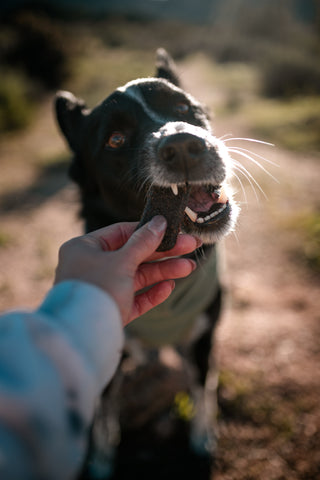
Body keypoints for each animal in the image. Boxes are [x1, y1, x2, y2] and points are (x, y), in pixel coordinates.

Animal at [55, 49, 238, 480]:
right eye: (115, 139)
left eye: (184, 108)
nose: (185, 145)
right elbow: (104, 416)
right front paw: (100, 461)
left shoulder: (203, 338)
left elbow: (202, 391)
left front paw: (202, 439)